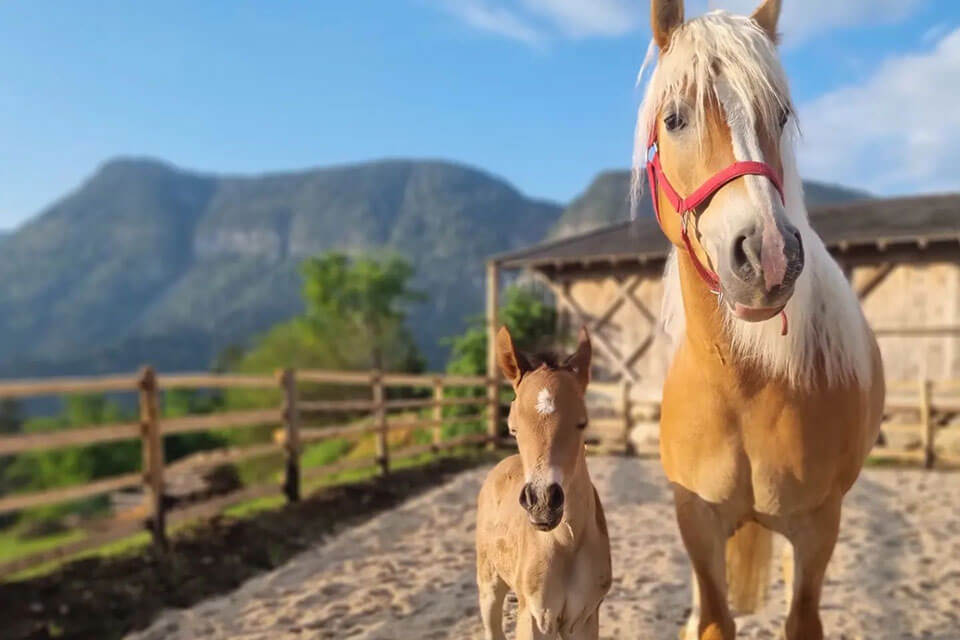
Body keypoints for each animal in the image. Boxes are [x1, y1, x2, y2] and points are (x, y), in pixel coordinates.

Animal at [476, 326, 611, 640]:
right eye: (513, 428)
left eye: (582, 423)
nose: (542, 503)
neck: (566, 543)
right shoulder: (536, 616)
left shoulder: (584, 617)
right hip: (488, 584)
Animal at [634, 2, 885, 639]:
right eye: (674, 118)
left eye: (780, 114)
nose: (769, 253)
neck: (743, 386)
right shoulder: (696, 522)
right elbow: (713, 620)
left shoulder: (817, 527)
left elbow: (802, 620)